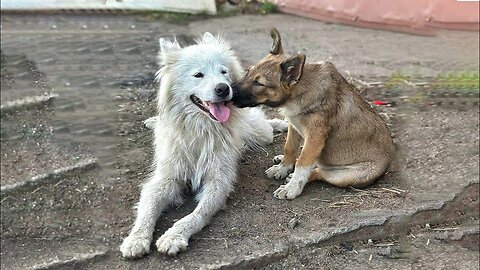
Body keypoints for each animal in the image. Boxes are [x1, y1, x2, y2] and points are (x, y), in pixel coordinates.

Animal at [121, 32, 284, 258]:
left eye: (223, 72)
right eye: (198, 75)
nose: (224, 88)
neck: (201, 130)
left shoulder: (218, 181)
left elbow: (196, 215)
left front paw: (174, 237)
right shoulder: (165, 178)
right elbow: (148, 208)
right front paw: (136, 239)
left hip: (262, 134)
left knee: (268, 126)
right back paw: (153, 122)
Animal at [232, 28, 394, 199]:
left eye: (259, 83)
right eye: (247, 71)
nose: (228, 91)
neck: (299, 93)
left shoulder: (316, 135)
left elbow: (303, 163)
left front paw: (291, 188)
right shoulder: (294, 126)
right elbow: (290, 148)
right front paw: (283, 167)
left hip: (346, 176)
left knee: (319, 172)